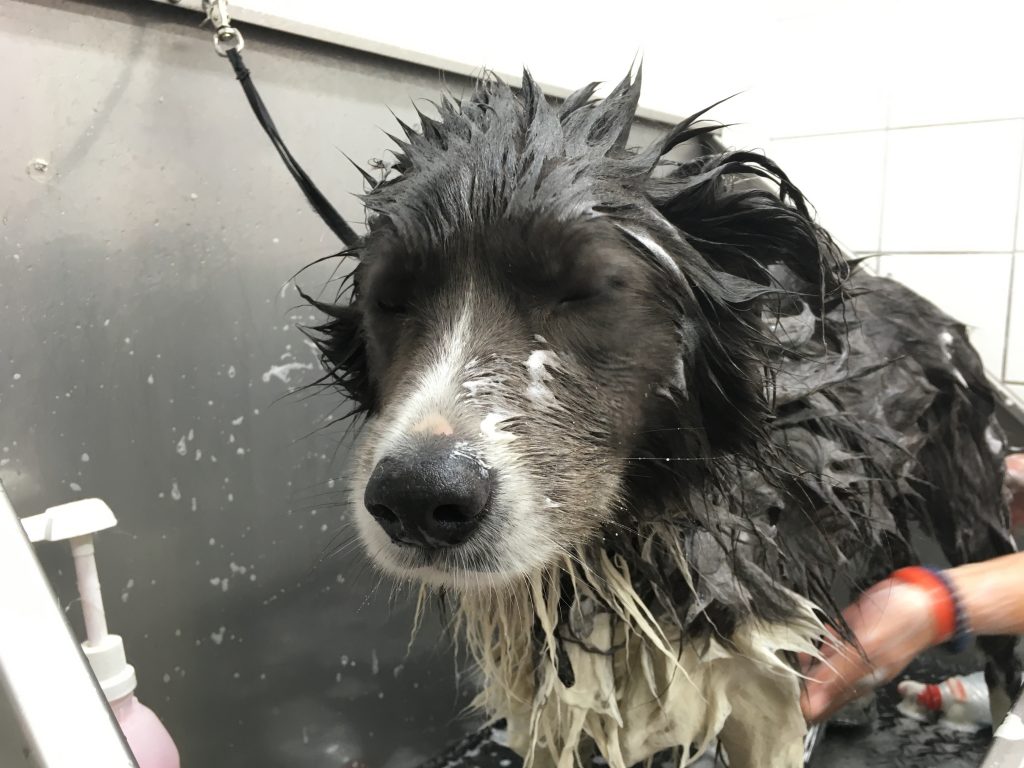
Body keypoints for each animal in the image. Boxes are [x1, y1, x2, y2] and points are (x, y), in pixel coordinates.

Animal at [305, 72, 1024, 768]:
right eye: (389, 301)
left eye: (585, 291)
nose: (416, 500)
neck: (636, 530)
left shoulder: (758, 683)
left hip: (971, 502)